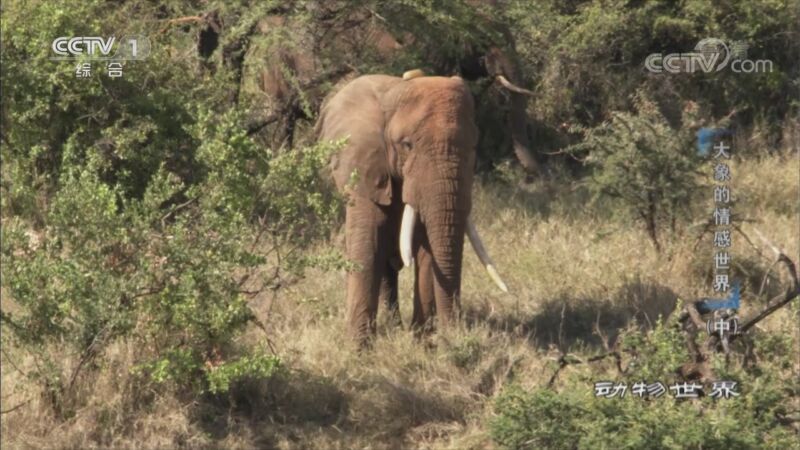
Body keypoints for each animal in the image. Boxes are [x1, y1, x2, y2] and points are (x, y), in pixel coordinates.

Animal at [316, 70, 508, 344]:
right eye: (407, 145)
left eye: (474, 145)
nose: (454, 333)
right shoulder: (362, 167)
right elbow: (367, 242)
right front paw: (358, 348)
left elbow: (427, 250)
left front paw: (423, 342)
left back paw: (396, 327)